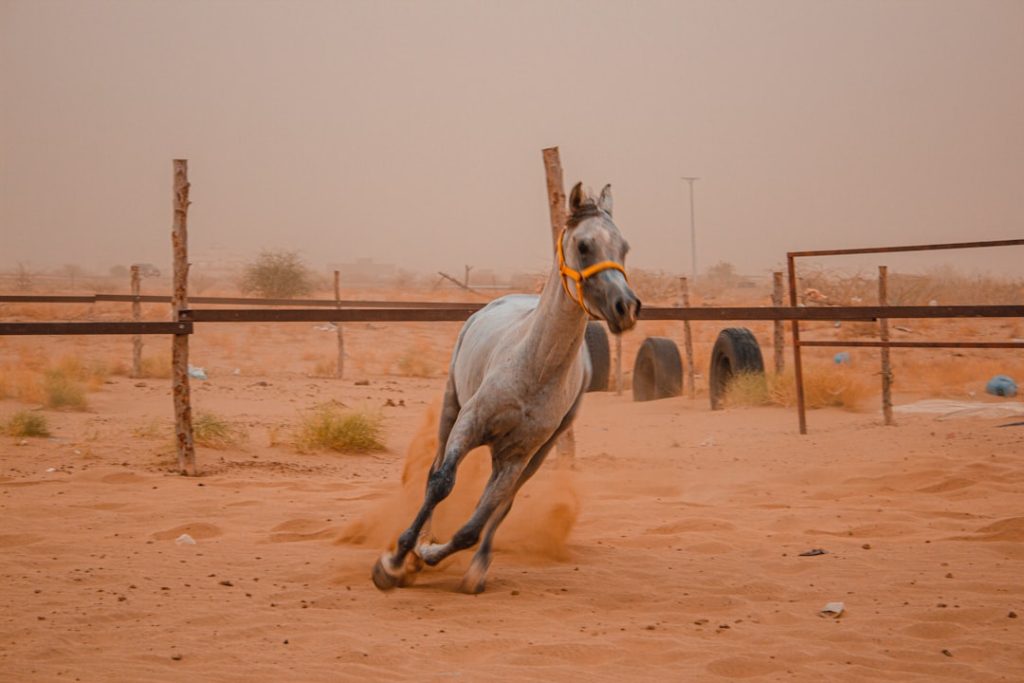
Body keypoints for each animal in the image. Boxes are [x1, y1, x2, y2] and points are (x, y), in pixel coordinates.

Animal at [372, 182, 640, 594]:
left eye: (623, 247)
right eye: (584, 246)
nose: (626, 308)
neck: (533, 369)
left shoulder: (518, 455)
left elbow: (477, 523)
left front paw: (429, 555)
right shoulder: (468, 424)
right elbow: (441, 484)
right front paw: (395, 561)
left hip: (538, 453)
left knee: (501, 505)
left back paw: (474, 566)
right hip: (451, 408)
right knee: (434, 471)